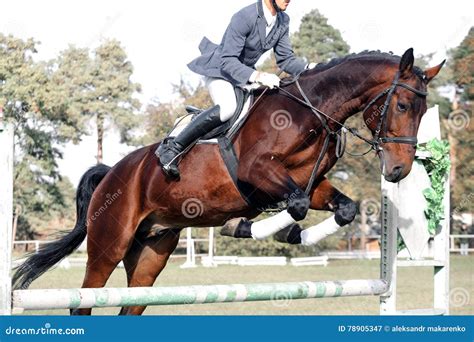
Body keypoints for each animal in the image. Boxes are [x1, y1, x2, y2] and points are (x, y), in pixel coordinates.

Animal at [14, 48, 444, 316]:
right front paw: (248, 227)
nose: (399, 171)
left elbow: (342, 208)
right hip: (109, 244)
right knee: (83, 300)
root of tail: (112, 174)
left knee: (129, 303)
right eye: (402, 105)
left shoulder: (312, 183)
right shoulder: (257, 173)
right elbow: (296, 204)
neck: (313, 112)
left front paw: (286, 234)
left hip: (152, 253)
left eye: (423, 111)